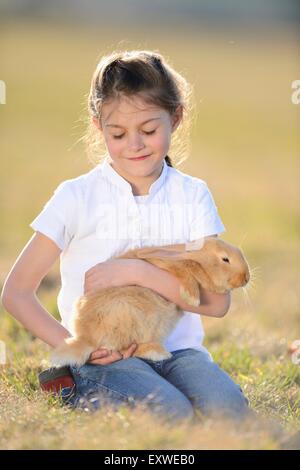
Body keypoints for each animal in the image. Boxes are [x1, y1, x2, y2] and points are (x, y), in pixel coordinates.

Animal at [52, 237, 251, 366]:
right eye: (225, 259)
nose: (246, 278)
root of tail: (85, 339)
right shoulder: (167, 264)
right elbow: (188, 267)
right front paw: (192, 298)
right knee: (134, 348)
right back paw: (160, 354)